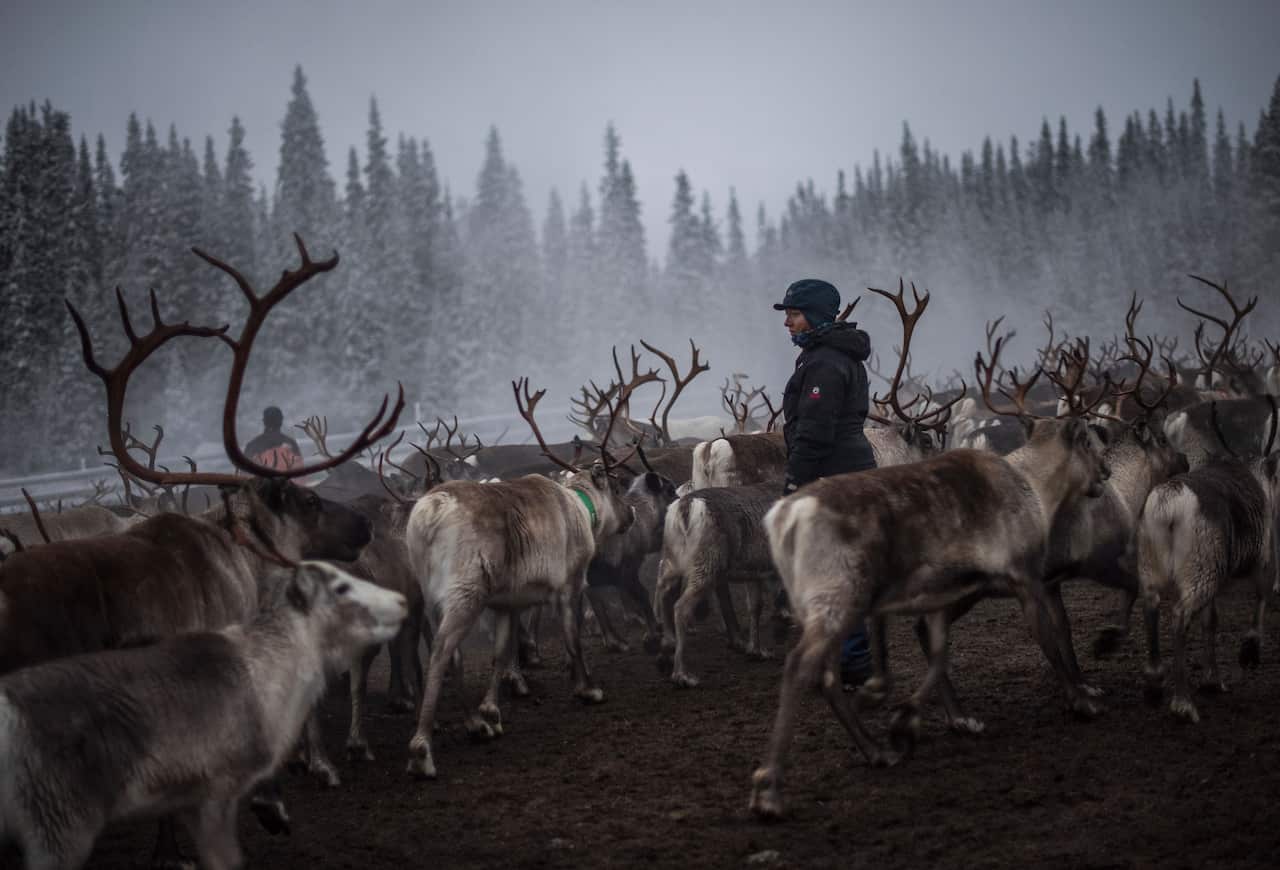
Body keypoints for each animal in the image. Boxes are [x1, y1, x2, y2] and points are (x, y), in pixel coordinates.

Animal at [749, 280, 1112, 821]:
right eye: (1088, 440)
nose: (1107, 472)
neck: (1033, 488)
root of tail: (784, 517)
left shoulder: (948, 590)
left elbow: (938, 652)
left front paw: (923, 715)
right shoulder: (1022, 576)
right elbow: (1047, 638)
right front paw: (1082, 699)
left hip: (833, 598)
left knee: (826, 671)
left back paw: (873, 748)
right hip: (839, 594)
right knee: (804, 667)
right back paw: (772, 786)